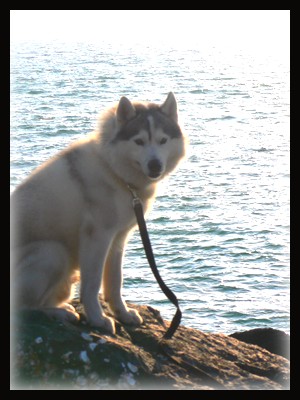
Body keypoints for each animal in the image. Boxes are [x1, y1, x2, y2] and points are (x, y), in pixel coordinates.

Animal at [10, 92, 186, 332]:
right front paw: (97, 318)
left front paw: (122, 313)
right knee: (23, 307)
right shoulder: (97, 237)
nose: (155, 165)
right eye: (139, 141)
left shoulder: (118, 238)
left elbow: (114, 281)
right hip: (52, 252)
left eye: (163, 140)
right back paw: (58, 313)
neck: (114, 171)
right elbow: (92, 284)